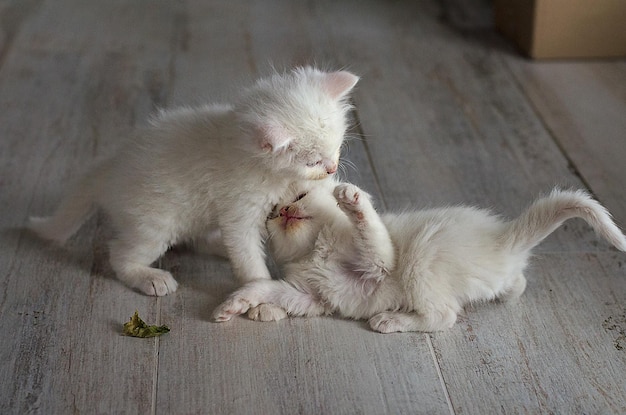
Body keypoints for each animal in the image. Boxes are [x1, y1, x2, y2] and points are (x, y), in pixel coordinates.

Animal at [29, 67, 358, 296]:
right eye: (312, 161)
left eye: (337, 146)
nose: (332, 168)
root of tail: (111, 166)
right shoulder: (240, 212)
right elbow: (247, 256)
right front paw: (259, 292)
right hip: (154, 224)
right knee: (120, 254)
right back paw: (149, 278)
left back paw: (216, 246)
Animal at [213, 184, 624, 334]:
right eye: (272, 214)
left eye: (298, 197)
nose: (283, 211)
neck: (315, 249)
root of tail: (503, 240)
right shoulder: (309, 297)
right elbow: (267, 287)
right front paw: (237, 304)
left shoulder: (380, 260)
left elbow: (372, 233)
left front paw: (352, 198)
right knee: (514, 283)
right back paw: (508, 292)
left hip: (421, 259)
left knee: (444, 317)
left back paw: (391, 320)